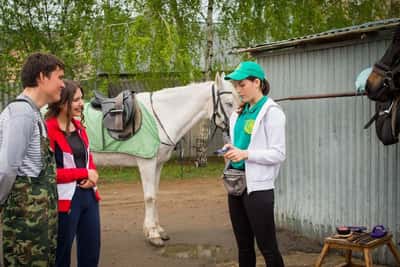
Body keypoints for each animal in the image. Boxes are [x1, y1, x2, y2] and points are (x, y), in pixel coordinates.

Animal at [92, 73, 239, 247]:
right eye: (229, 103)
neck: (160, 117)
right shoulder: (147, 163)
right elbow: (149, 197)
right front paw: (153, 235)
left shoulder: (158, 164)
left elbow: (155, 195)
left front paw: (157, 229)